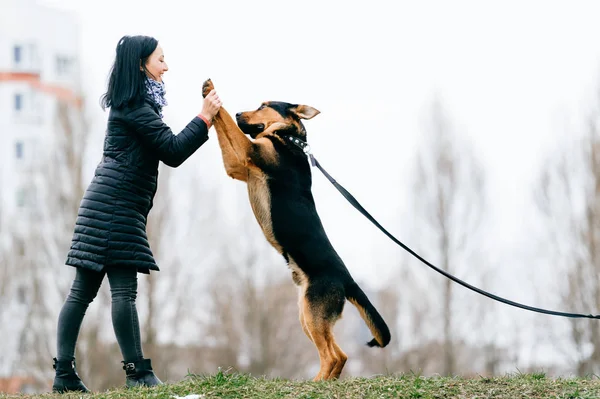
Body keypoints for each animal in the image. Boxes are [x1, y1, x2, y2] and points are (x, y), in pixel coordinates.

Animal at [202, 79, 390, 382]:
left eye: (264, 105)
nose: (242, 113)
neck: (290, 139)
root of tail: (347, 279)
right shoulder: (239, 165)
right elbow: (224, 128)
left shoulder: (249, 151)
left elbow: (226, 120)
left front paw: (212, 93)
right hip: (307, 315)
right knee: (340, 355)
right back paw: (324, 382)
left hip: (313, 313)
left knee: (332, 355)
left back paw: (317, 382)